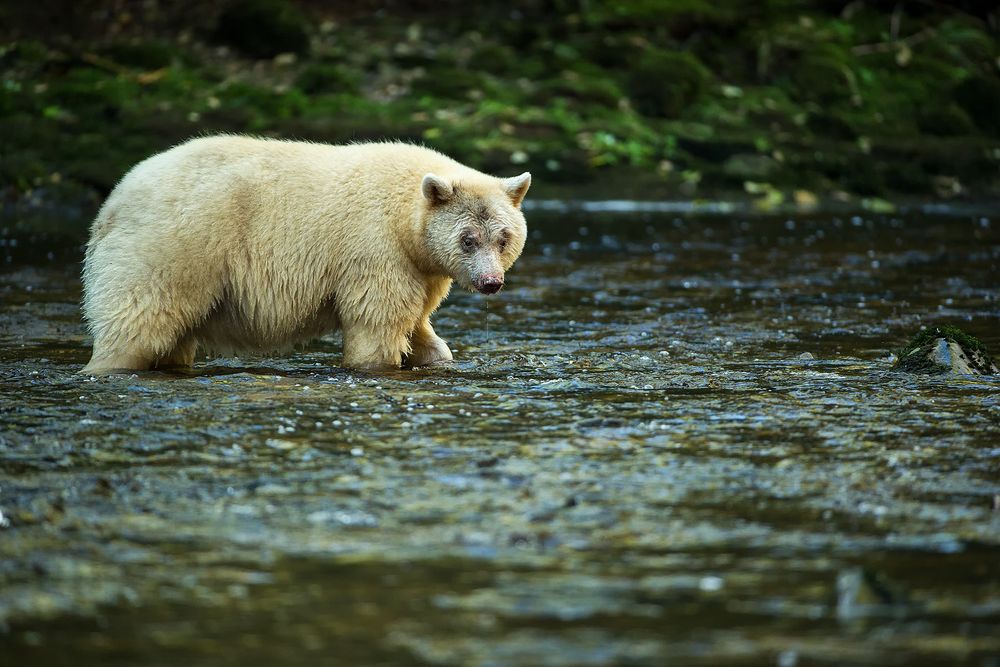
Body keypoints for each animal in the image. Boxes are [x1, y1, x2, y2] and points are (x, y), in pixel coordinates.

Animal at [80, 135, 531, 373]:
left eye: (503, 237)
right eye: (468, 239)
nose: (491, 282)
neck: (407, 221)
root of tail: (112, 202)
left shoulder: (421, 268)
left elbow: (418, 323)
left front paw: (435, 354)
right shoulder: (376, 251)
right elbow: (377, 322)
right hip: (172, 248)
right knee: (140, 322)